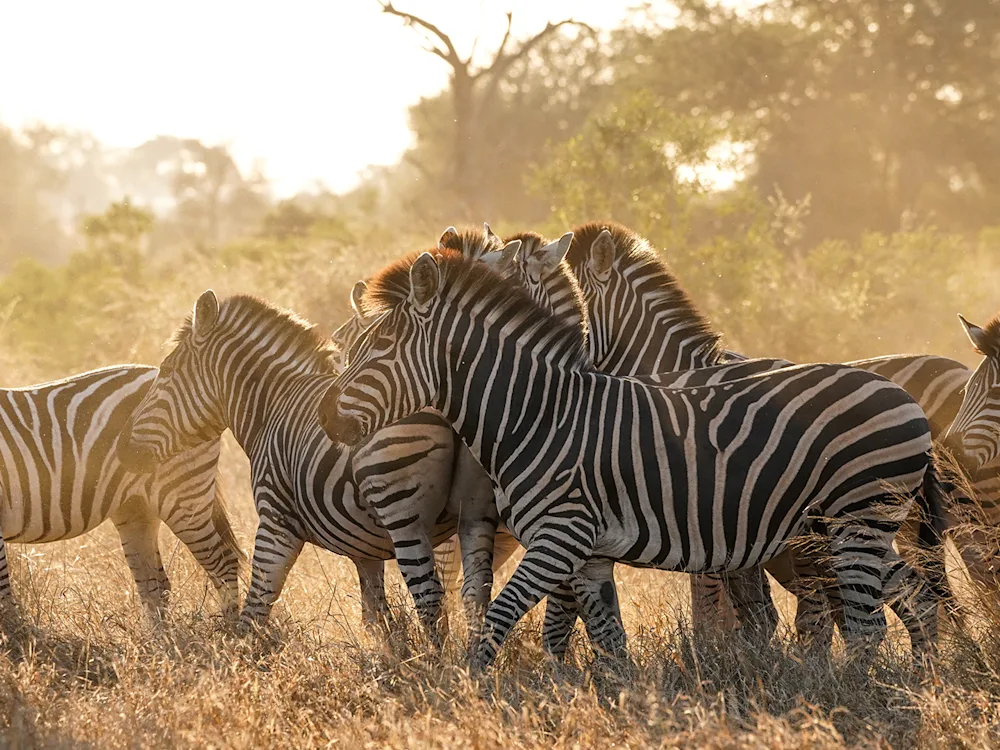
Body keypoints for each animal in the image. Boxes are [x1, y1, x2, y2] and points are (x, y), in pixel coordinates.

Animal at [0, 365, 241, 620]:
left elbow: (4, 598)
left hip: (183, 497)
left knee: (224, 564)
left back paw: (232, 629)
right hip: (137, 509)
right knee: (155, 585)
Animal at [116, 289, 509, 640]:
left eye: (167, 371)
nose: (123, 449)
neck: (272, 405)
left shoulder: (276, 521)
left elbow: (256, 608)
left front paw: (242, 659)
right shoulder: (365, 548)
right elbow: (376, 617)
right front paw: (391, 662)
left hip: (404, 516)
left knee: (430, 597)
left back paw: (438, 669)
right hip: (474, 512)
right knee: (475, 595)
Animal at [319, 250, 948, 670]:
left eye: (379, 349)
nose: (326, 419)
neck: (536, 414)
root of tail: (901, 393)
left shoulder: (560, 534)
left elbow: (499, 618)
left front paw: (470, 692)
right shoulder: (590, 552)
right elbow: (606, 637)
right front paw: (622, 704)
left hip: (857, 516)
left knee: (867, 624)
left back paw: (859, 694)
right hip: (838, 526)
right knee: (914, 597)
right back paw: (922, 683)